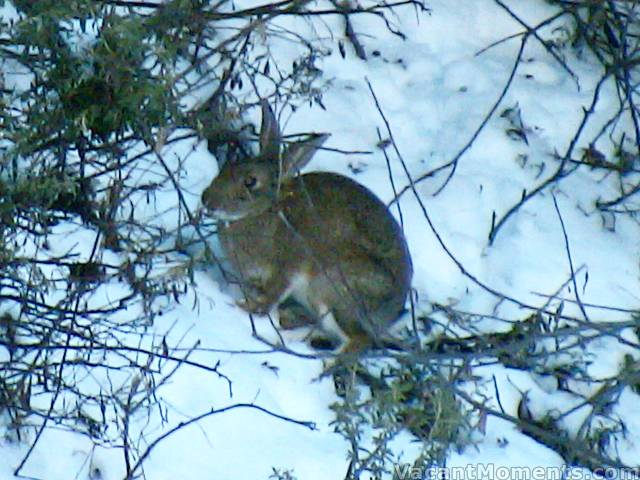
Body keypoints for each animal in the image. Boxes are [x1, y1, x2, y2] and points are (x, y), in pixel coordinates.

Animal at [201, 99, 416, 352]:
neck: (266, 210)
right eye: (226, 167)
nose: (206, 199)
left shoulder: (288, 266)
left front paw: (247, 308)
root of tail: (391, 312)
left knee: (359, 338)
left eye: (250, 181)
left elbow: (273, 295)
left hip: (331, 289)